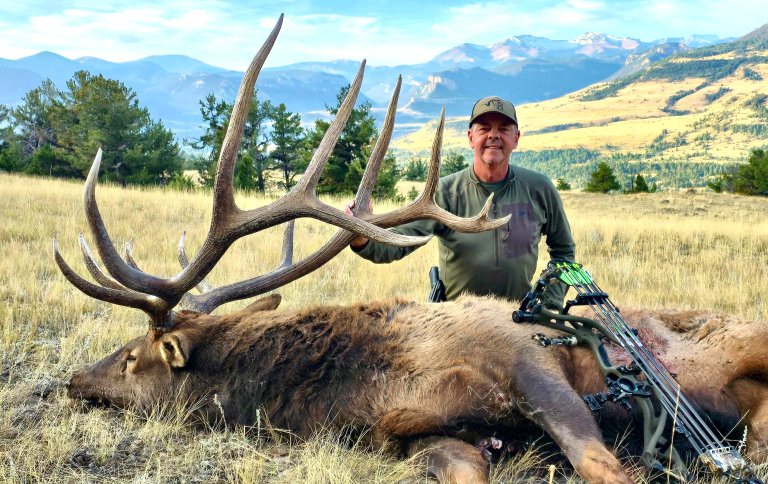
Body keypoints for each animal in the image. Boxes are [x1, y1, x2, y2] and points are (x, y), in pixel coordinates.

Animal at [58, 15, 768, 484]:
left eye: (130, 358)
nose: (72, 381)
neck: (362, 379)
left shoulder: (529, 361)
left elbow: (603, 468)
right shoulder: (418, 437)